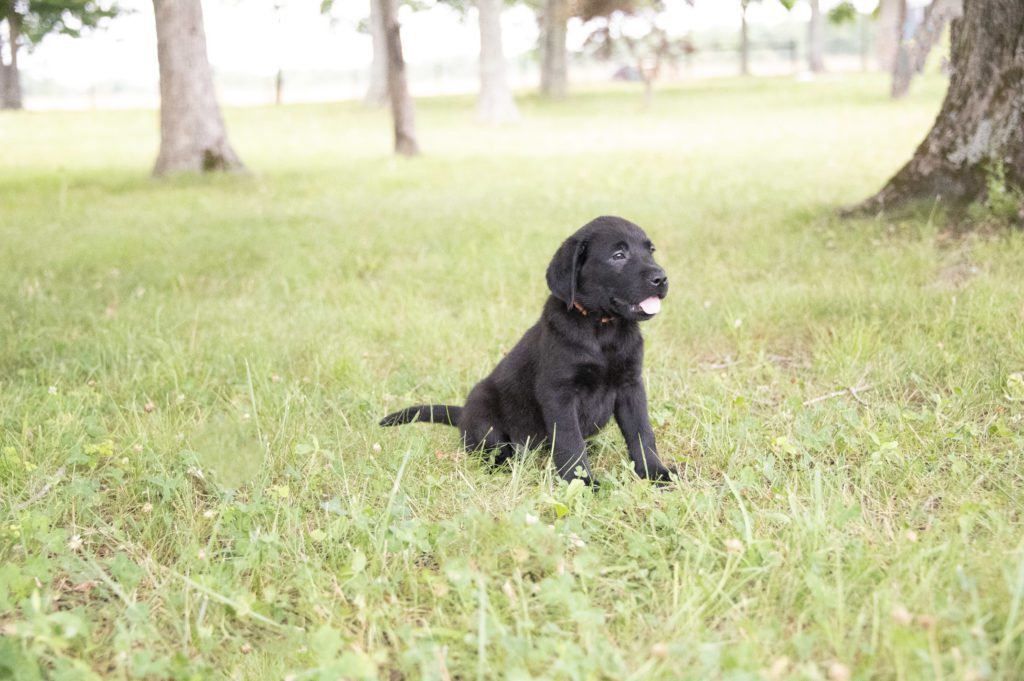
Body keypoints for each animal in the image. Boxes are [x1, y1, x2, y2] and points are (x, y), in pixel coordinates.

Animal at [380, 215, 675, 485]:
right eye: (618, 255)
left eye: (650, 250)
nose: (661, 278)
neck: (603, 329)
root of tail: (462, 414)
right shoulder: (559, 392)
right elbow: (569, 441)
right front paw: (581, 482)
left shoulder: (631, 385)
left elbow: (641, 433)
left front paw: (655, 472)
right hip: (484, 410)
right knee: (489, 448)